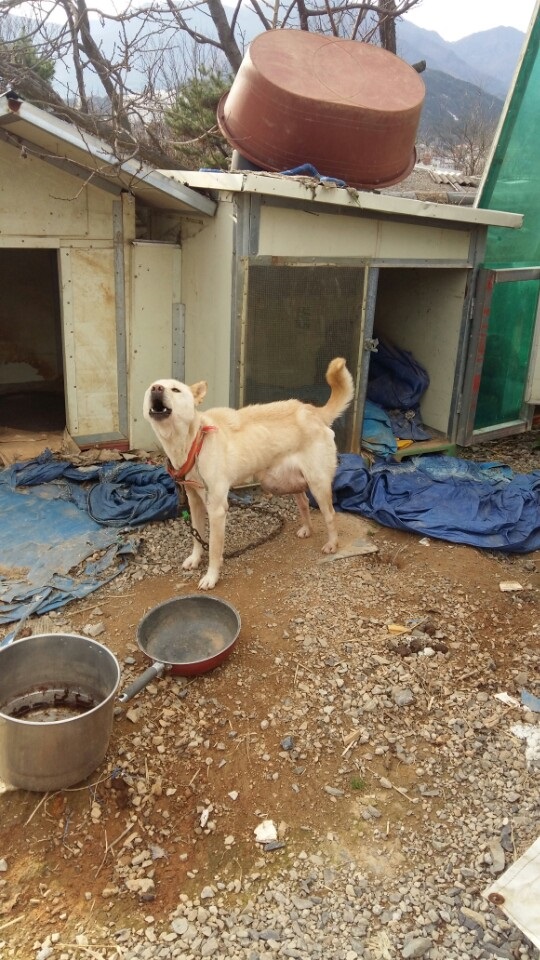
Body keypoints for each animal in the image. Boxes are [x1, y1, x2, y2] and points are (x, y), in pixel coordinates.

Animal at [143, 356, 354, 588]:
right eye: (152, 387)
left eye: (175, 389)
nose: (156, 388)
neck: (193, 441)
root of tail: (313, 411)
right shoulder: (194, 502)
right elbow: (197, 537)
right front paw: (195, 559)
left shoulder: (217, 509)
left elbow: (214, 549)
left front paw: (211, 577)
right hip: (289, 483)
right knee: (305, 503)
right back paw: (307, 528)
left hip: (318, 484)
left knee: (330, 515)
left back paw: (332, 544)